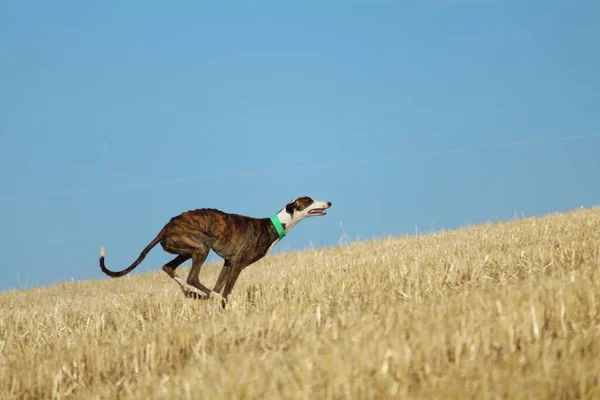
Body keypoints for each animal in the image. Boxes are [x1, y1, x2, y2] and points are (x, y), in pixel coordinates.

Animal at [100, 197, 330, 306]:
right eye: (308, 200)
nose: (329, 202)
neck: (273, 225)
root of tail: (165, 228)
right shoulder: (237, 264)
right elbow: (226, 291)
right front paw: (224, 304)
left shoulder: (228, 263)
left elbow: (219, 285)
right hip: (201, 246)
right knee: (193, 277)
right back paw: (202, 293)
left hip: (186, 249)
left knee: (168, 267)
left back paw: (193, 293)